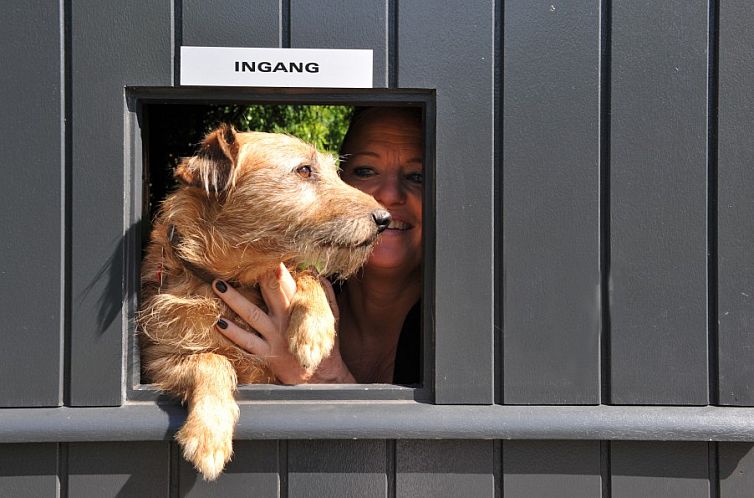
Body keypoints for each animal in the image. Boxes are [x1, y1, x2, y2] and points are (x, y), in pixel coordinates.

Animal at [137, 123, 390, 478]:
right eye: (304, 169)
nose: (385, 219)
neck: (234, 281)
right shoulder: (158, 360)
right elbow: (212, 360)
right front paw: (208, 435)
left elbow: (306, 272)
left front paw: (313, 329)